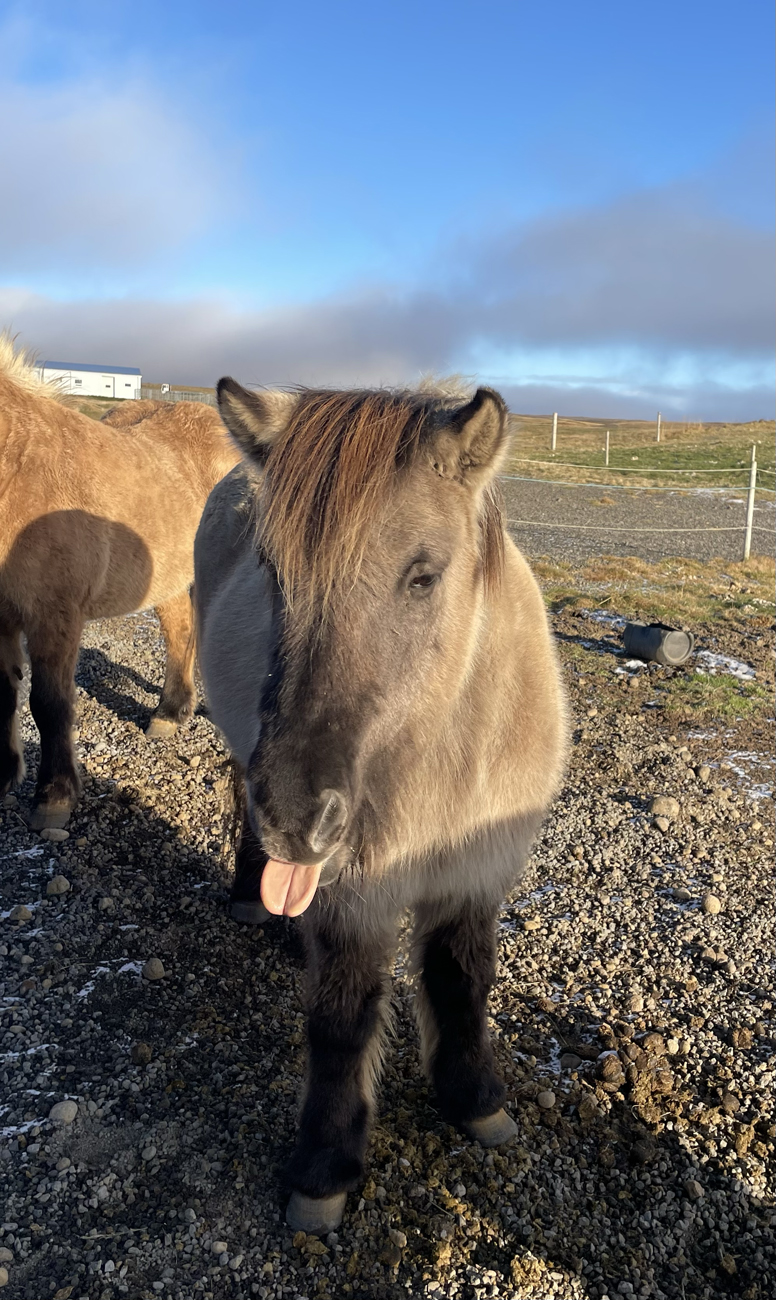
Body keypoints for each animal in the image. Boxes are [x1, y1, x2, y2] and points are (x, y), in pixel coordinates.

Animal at [0, 336, 239, 829]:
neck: (18, 471)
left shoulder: (55, 617)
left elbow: (49, 704)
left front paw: (53, 799)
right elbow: (4, 695)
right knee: (181, 631)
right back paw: (170, 713)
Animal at [194, 376, 568, 1233]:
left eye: (422, 576)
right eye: (273, 571)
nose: (296, 814)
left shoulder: (474, 873)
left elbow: (461, 981)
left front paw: (476, 1100)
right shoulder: (354, 900)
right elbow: (342, 1019)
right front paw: (325, 1168)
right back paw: (251, 897)